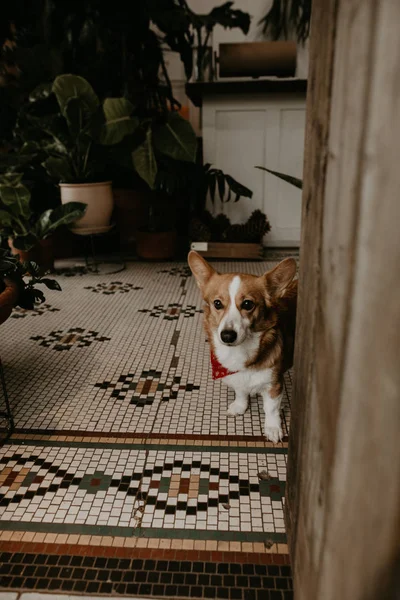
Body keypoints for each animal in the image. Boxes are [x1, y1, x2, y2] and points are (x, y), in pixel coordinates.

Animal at [188, 251, 296, 442]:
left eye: (247, 304)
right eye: (217, 303)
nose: (227, 336)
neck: (239, 354)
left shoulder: (274, 385)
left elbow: (271, 408)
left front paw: (272, 428)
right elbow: (240, 392)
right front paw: (239, 406)